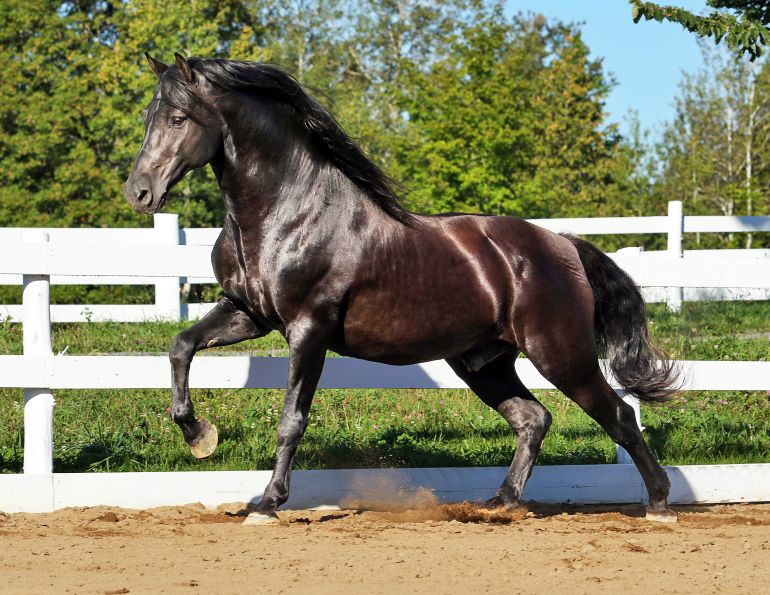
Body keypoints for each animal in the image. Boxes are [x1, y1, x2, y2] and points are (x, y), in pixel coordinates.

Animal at [124, 53, 680, 523]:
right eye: (148, 116)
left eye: (178, 119)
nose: (139, 193)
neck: (288, 212)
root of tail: (563, 244)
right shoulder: (247, 313)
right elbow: (181, 346)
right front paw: (199, 436)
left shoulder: (308, 329)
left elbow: (291, 418)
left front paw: (267, 502)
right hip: (484, 363)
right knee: (533, 418)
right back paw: (499, 502)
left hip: (561, 355)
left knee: (618, 415)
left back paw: (658, 503)